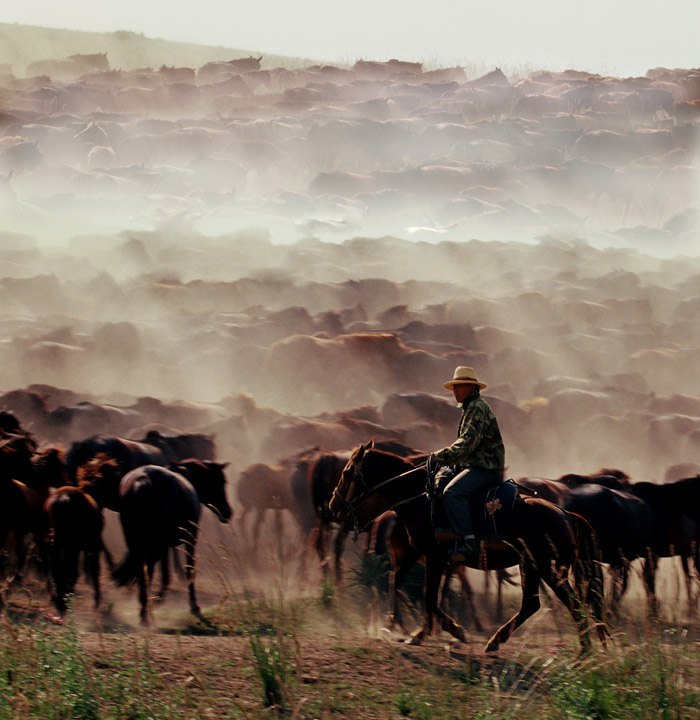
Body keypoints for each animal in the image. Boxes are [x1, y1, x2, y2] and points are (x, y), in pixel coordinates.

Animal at [112, 462, 232, 624]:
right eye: (222, 482)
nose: (228, 512)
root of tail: (144, 480)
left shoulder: (164, 547)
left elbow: (164, 573)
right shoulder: (189, 539)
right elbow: (188, 569)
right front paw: (194, 606)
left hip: (136, 540)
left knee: (142, 567)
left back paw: (144, 606)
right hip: (155, 543)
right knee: (147, 569)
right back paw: (146, 608)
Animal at [330, 442, 608, 656]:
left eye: (347, 472)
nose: (334, 506)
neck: (424, 499)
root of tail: (566, 515)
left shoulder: (435, 557)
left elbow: (429, 595)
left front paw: (441, 631)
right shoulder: (421, 558)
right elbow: (403, 584)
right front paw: (425, 631)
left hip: (548, 570)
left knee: (572, 605)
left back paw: (584, 652)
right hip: (530, 566)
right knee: (531, 605)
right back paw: (495, 641)